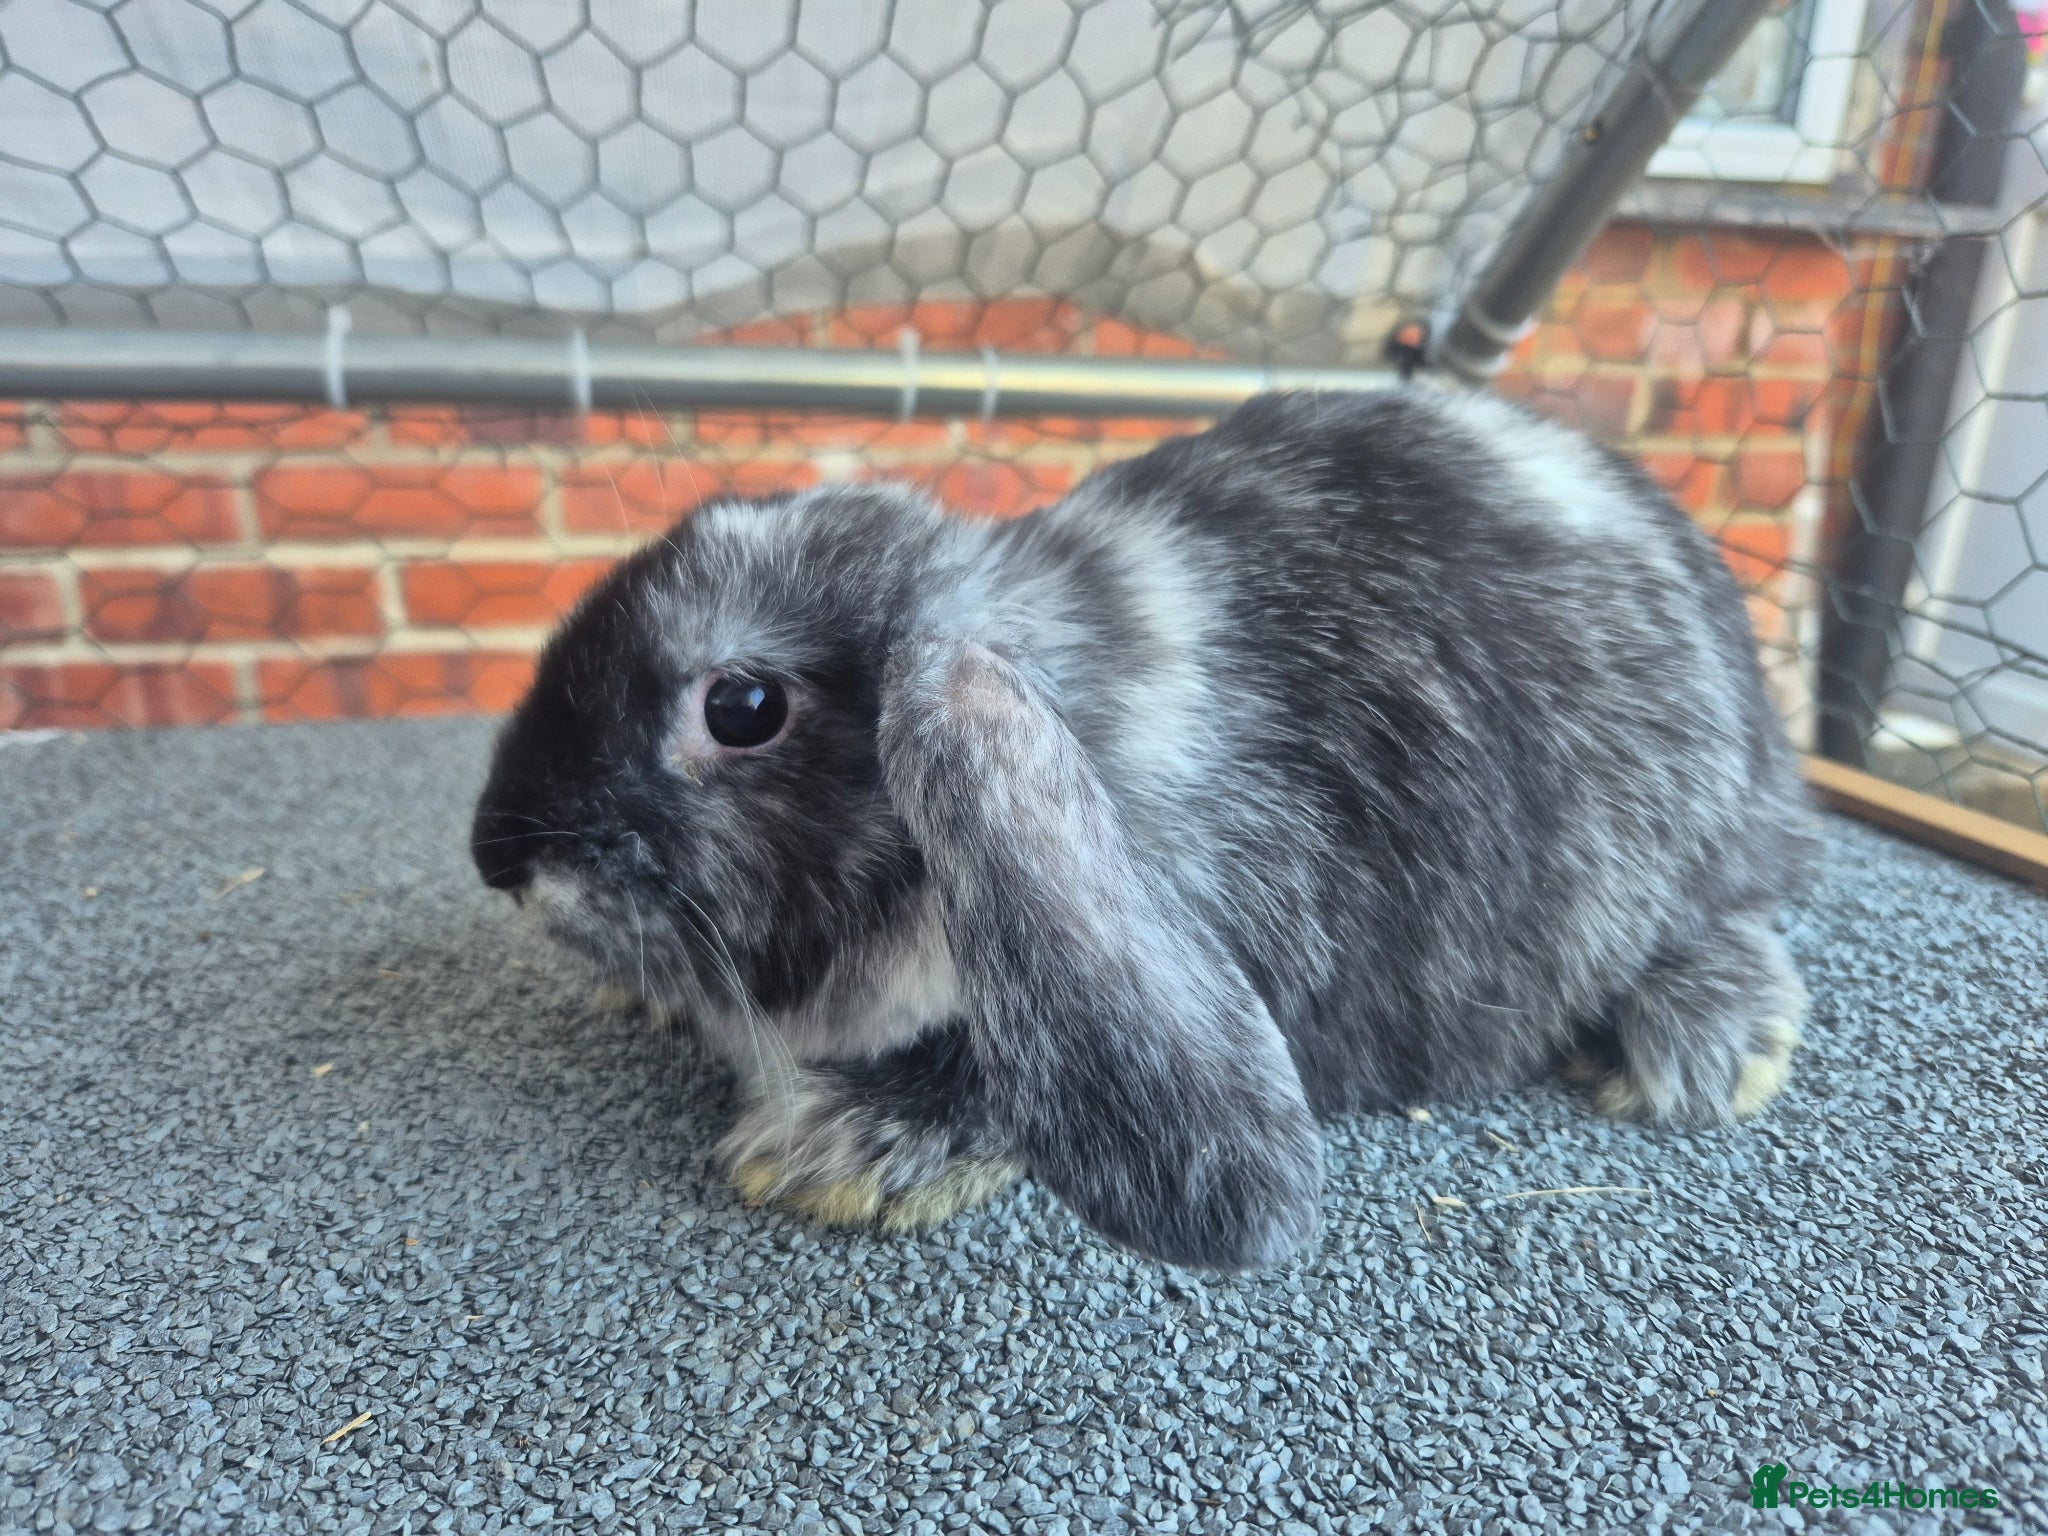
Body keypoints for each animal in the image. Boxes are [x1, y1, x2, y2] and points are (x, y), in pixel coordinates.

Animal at [470, 386, 1817, 1270]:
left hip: (1679, 866)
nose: (497, 857)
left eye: (741, 708)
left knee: (1733, 928)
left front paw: (833, 1149)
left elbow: (989, 1080)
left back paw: (1701, 1045)